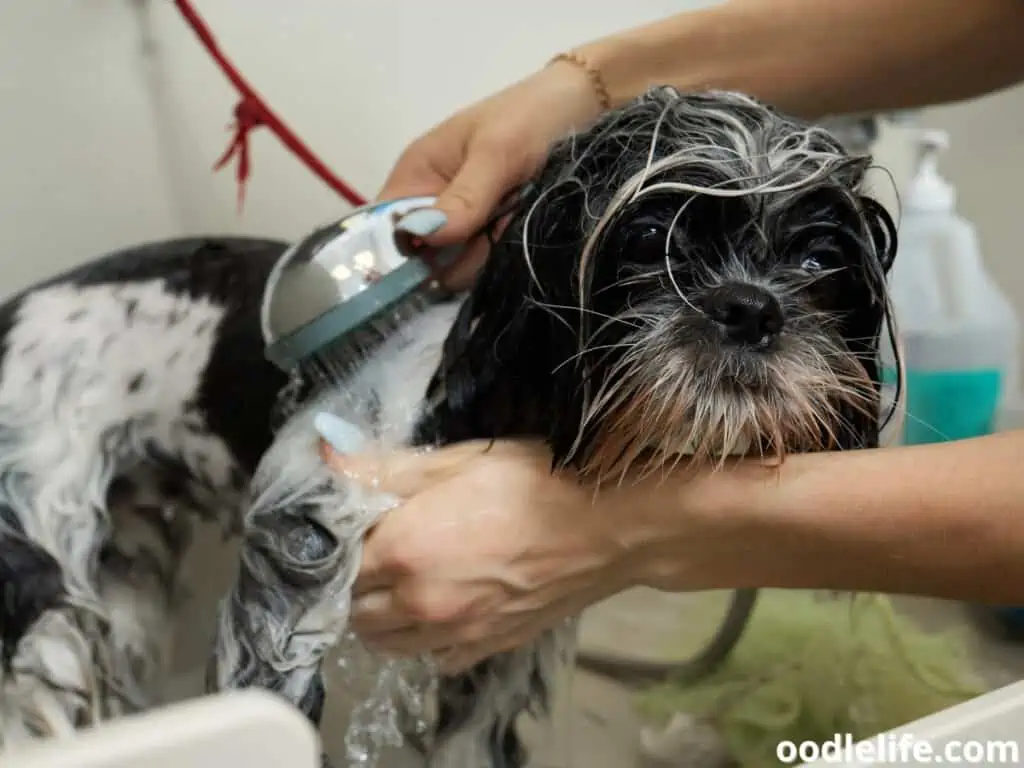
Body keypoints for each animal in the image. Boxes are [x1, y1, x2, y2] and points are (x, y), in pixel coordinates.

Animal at [0, 85, 897, 768]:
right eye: (647, 239)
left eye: (821, 262)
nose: (750, 308)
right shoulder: (297, 545)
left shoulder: (502, 654)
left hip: (125, 568)